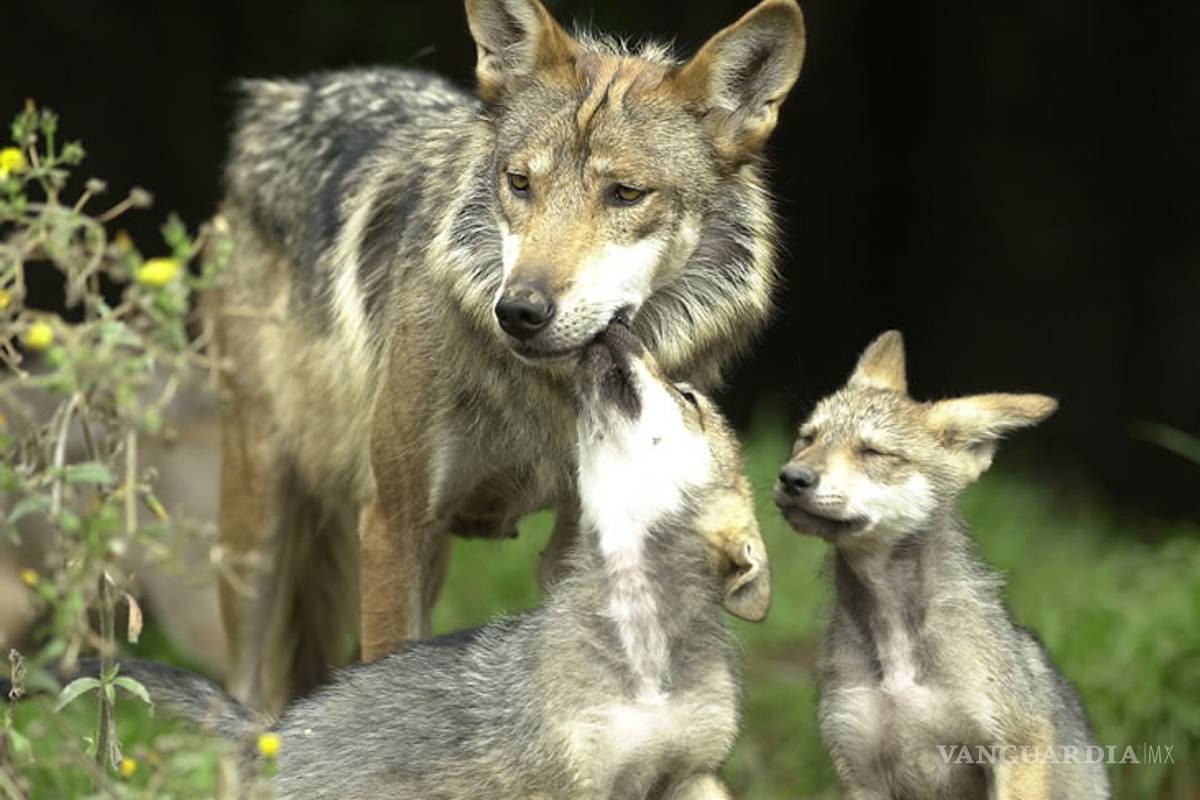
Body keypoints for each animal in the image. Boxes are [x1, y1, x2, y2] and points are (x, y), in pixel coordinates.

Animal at [46, 324, 766, 799]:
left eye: (691, 399)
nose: (617, 325)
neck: (644, 649)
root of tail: (269, 732)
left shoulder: (694, 773)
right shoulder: (576, 781)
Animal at [214, 0, 805, 711]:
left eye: (625, 194)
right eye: (519, 183)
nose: (519, 311)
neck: (544, 396)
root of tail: (285, 96)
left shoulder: (583, 540)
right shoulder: (392, 524)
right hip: (259, 537)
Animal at [773, 331, 1110, 799]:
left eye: (872, 451)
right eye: (807, 438)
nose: (791, 478)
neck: (895, 640)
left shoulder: (1017, 747)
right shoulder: (859, 773)